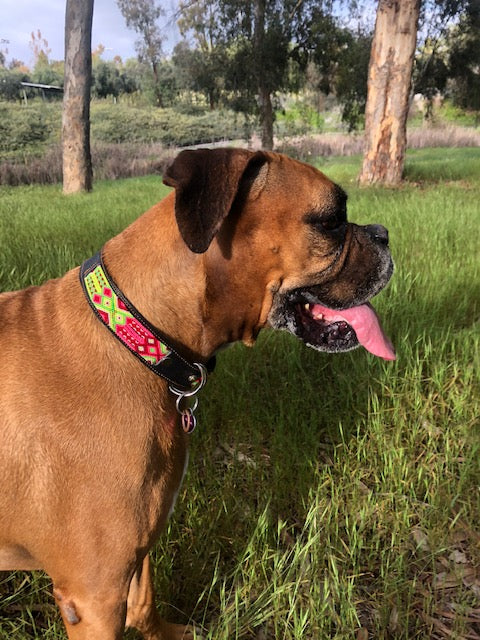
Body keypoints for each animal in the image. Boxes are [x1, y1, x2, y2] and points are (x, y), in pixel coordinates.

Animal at [0, 148, 396, 636]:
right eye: (331, 221)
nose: (383, 234)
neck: (137, 336)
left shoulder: (137, 548)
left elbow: (144, 602)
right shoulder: (93, 594)